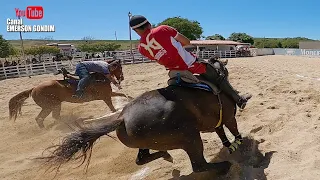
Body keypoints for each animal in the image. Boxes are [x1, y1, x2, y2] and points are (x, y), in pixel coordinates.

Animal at [40, 59, 248, 176]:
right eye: (224, 73)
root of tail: (122, 117)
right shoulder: (229, 117)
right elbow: (233, 130)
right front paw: (239, 143)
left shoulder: (218, 121)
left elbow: (222, 133)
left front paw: (229, 145)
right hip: (190, 139)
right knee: (199, 165)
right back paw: (224, 167)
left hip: (146, 142)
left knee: (141, 159)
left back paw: (166, 155)